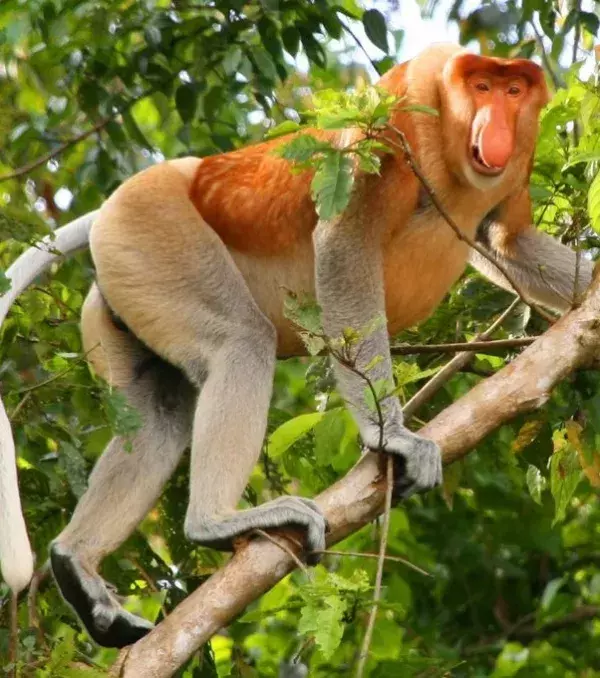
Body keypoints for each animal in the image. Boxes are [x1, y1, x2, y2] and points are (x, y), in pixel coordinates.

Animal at [0, 43, 592, 648]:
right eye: (482, 87)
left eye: (514, 91)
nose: (497, 122)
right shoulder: (390, 127)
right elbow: (345, 248)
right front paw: (393, 437)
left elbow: (508, 240)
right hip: (154, 232)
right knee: (241, 343)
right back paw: (216, 523)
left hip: (125, 287)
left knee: (159, 411)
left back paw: (77, 568)